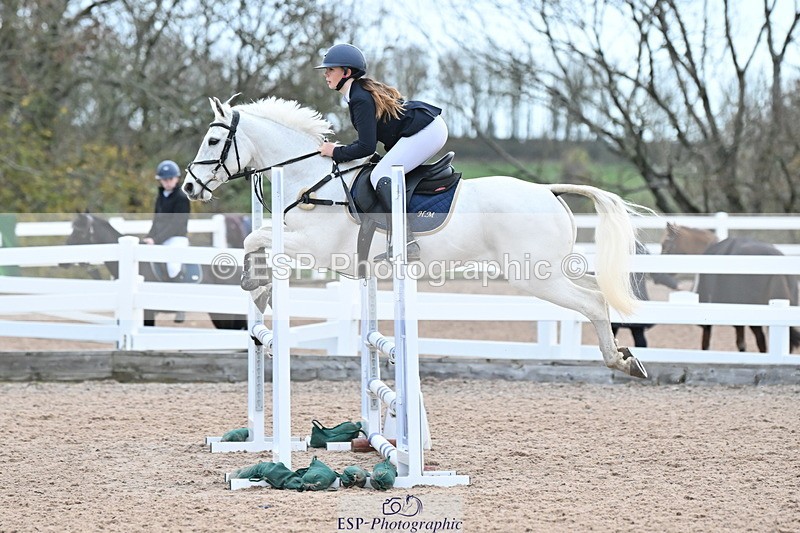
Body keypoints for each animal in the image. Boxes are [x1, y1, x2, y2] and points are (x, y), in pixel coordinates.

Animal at [180, 95, 650, 379]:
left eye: (214, 140)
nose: (188, 187)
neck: (313, 178)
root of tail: (548, 191)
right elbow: (257, 238)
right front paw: (259, 290)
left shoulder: (316, 249)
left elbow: (254, 240)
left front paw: (255, 284)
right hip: (550, 270)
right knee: (596, 289)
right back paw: (626, 356)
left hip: (535, 275)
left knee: (592, 302)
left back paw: (620, 361)